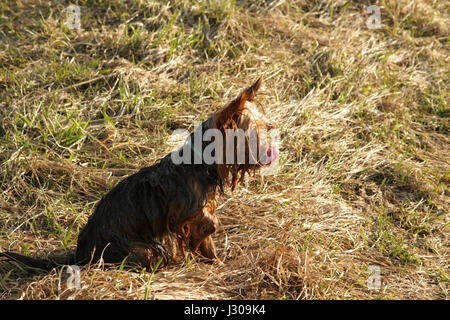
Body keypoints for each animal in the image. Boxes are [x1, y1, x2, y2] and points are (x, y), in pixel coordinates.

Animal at [0, 77, 278, 270]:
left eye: (267, 128)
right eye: (254, 134)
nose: (271, 150)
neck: (200, 164)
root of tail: (80, 254)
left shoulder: (200, 211)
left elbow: (207, 240)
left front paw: (216, 261)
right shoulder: (188, 214)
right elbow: (207, 227)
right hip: (139, 249)